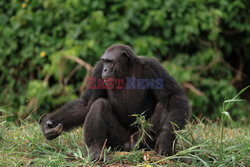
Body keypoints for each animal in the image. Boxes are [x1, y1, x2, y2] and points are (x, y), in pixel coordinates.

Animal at [40, 44, 190, 160]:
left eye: (110, 61)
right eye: (104, 61)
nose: (105, 69)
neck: (125, 71)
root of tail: (128, 146)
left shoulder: (153, 67)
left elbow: (174, 97)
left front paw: (166, 140)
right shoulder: (98, 70)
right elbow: (86, 104)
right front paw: (49, 124)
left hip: (142, 142)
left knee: (164, 106)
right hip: (116, 142)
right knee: (99, 104)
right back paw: (95, 150)